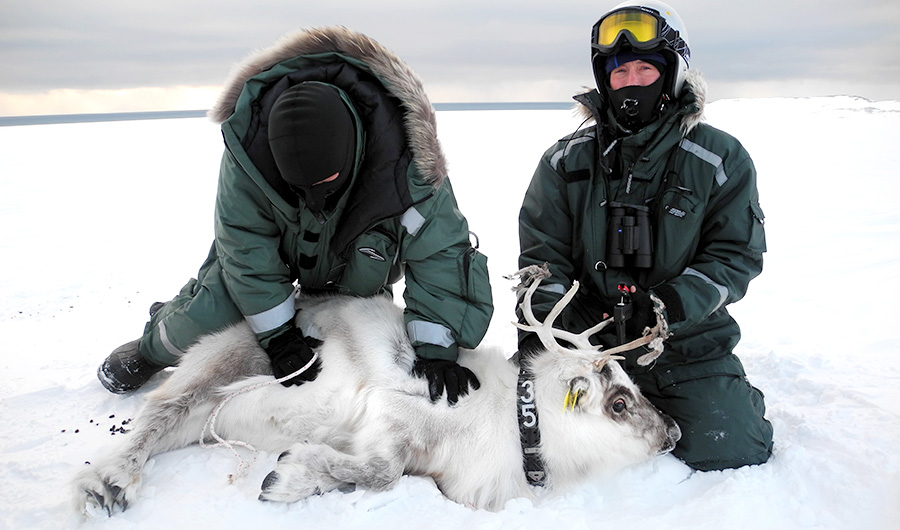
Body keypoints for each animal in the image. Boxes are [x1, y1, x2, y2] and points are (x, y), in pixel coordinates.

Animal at [72, 265, 680, 515]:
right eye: (619, 401)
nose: (673, 431)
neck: (519, 422)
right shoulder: (392, 415)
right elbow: (382, 471)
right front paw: (288, 476)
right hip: (228, 360)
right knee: (159, 410)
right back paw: (108, 482)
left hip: (210, 417)